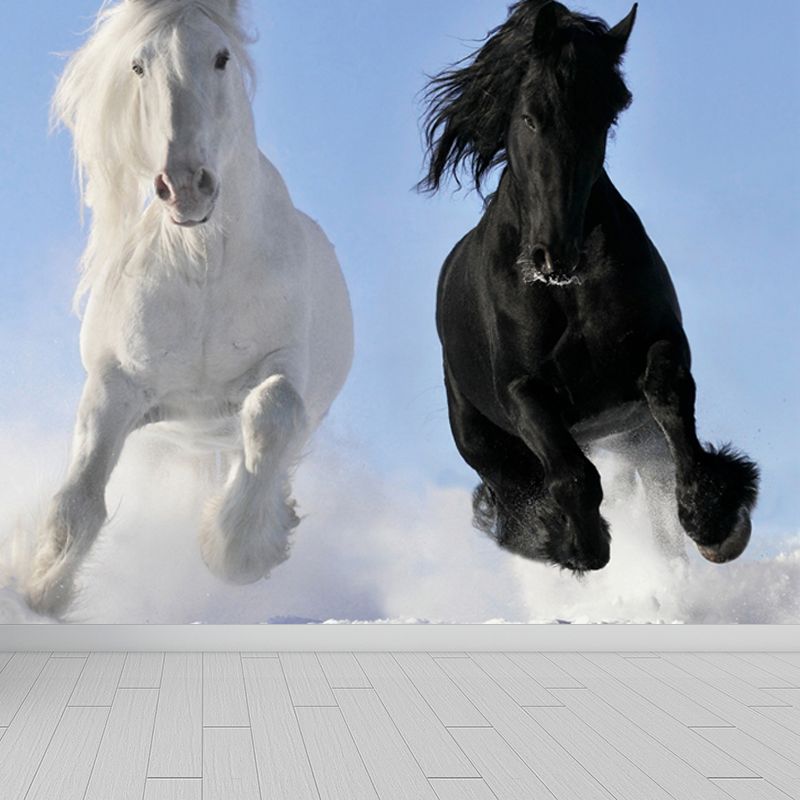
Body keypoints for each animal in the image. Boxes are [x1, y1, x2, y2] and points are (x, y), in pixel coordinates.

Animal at [25, 0, 353, 616]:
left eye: (221, 56)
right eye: (138, 65)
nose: (184, 185)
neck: (202, 265)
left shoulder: (283, 366)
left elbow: (271, 413)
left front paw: (238, 550)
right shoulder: (116, 386)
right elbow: (77, 503)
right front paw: (38, 593)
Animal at [421, 1, 759, 573]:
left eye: (603, 118)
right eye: (530, 116)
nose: (554, 255)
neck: (565, 292)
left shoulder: (660, 344)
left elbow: (670, 399)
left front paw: (715, 520)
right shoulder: (522, 390)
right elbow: (572, 475)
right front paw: (577, 543)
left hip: (634, 436)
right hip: (485, 442)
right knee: (518, 492)